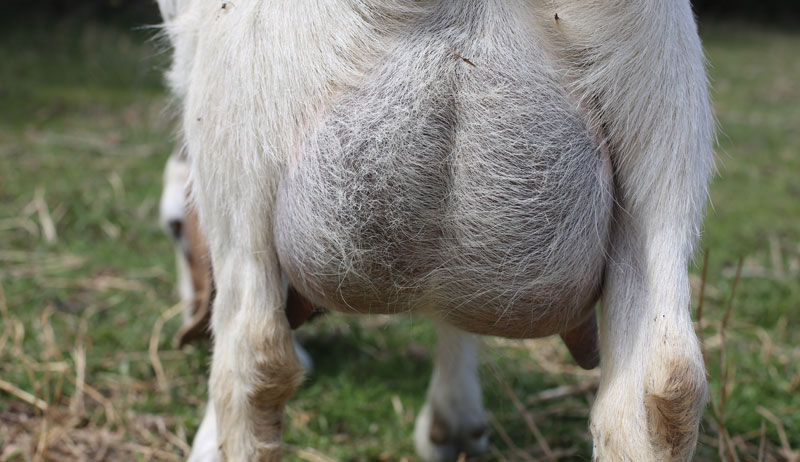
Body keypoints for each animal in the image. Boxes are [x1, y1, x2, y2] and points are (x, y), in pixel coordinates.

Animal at [157, 1, 714, 460]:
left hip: (237, 134)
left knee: (252, 361)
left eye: (174, 227)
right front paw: (456, 423)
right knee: (662, 388)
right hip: (664, 131)